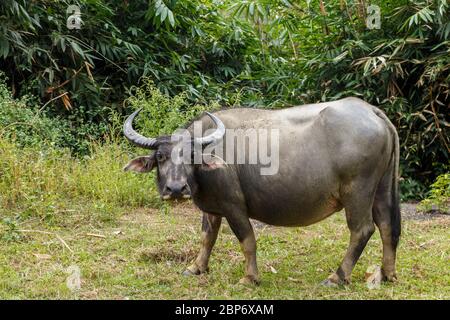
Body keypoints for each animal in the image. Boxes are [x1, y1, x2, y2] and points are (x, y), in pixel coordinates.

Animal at [123, 97, 400, 284]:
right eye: (160, 156)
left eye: (191, 156)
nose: (176, 188)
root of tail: (373, 111)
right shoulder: (211, 207)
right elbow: (207, 237)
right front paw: (196, 268)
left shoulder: (234, 206)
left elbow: (247, 239)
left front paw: (250, 278)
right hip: (381, 187)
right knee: (387, 226)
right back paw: (387, 273)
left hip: (357, 191)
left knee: (362, 229)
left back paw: (337, 277)